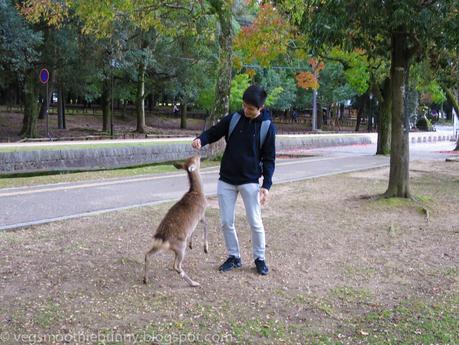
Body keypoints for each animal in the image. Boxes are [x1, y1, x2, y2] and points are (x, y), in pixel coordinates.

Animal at [143, 155, 209, 286]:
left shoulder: (194, 222)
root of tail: (163, 239)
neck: (197, 192)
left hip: (160, 246)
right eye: (195, 159)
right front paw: (205, 248)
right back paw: (194, 283)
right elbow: (206, 225)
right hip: (180, 246)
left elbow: (193, 231)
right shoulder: (201, 214)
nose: (200, 155)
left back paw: (145, 279)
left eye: (191, 157)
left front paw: (192, 244)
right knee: (176, 266)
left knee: (147, 255)